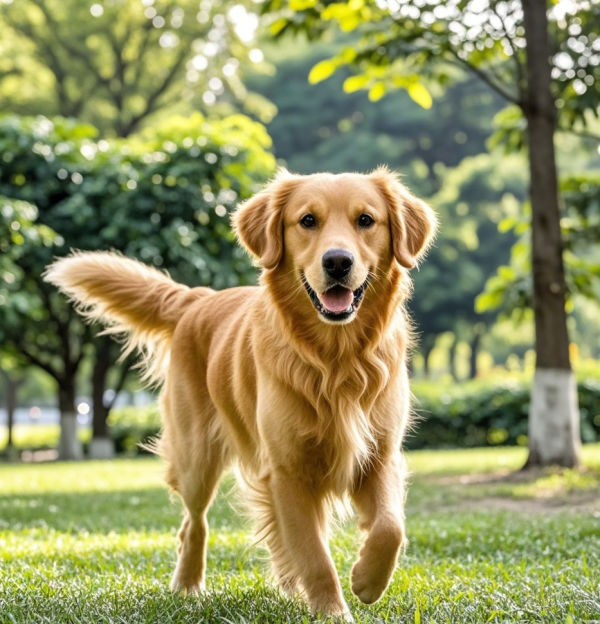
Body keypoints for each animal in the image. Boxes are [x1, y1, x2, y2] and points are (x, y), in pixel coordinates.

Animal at [43, 167, 436, 620]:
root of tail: (198, 298)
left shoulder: (379, 454)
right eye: (307, 221)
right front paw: (332, 611)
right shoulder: (287, 470)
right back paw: (188, 585)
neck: (335, 360)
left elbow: (390, 527)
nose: (337, 261)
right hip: (196, 457)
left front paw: (367, 581)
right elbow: (316, 556)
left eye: (366, 220)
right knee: (193, 523)